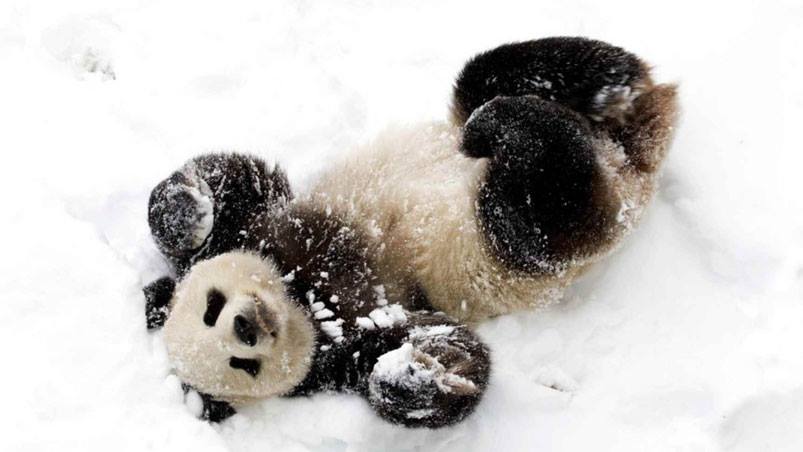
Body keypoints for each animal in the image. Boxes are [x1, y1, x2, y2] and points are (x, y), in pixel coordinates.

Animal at [143, 38, 680, 428]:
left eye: (211, 307)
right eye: (242, 365)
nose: (246, 327)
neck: (302, 294)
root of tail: (628, 158)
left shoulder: (263, 227)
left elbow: (237, 179)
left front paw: (186, 212)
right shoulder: (344, 345)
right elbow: (446, 350)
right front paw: (414, 375)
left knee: (492, 76)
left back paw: (594, 88)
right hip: (520, 242)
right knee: (544, 206)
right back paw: (525, 126)